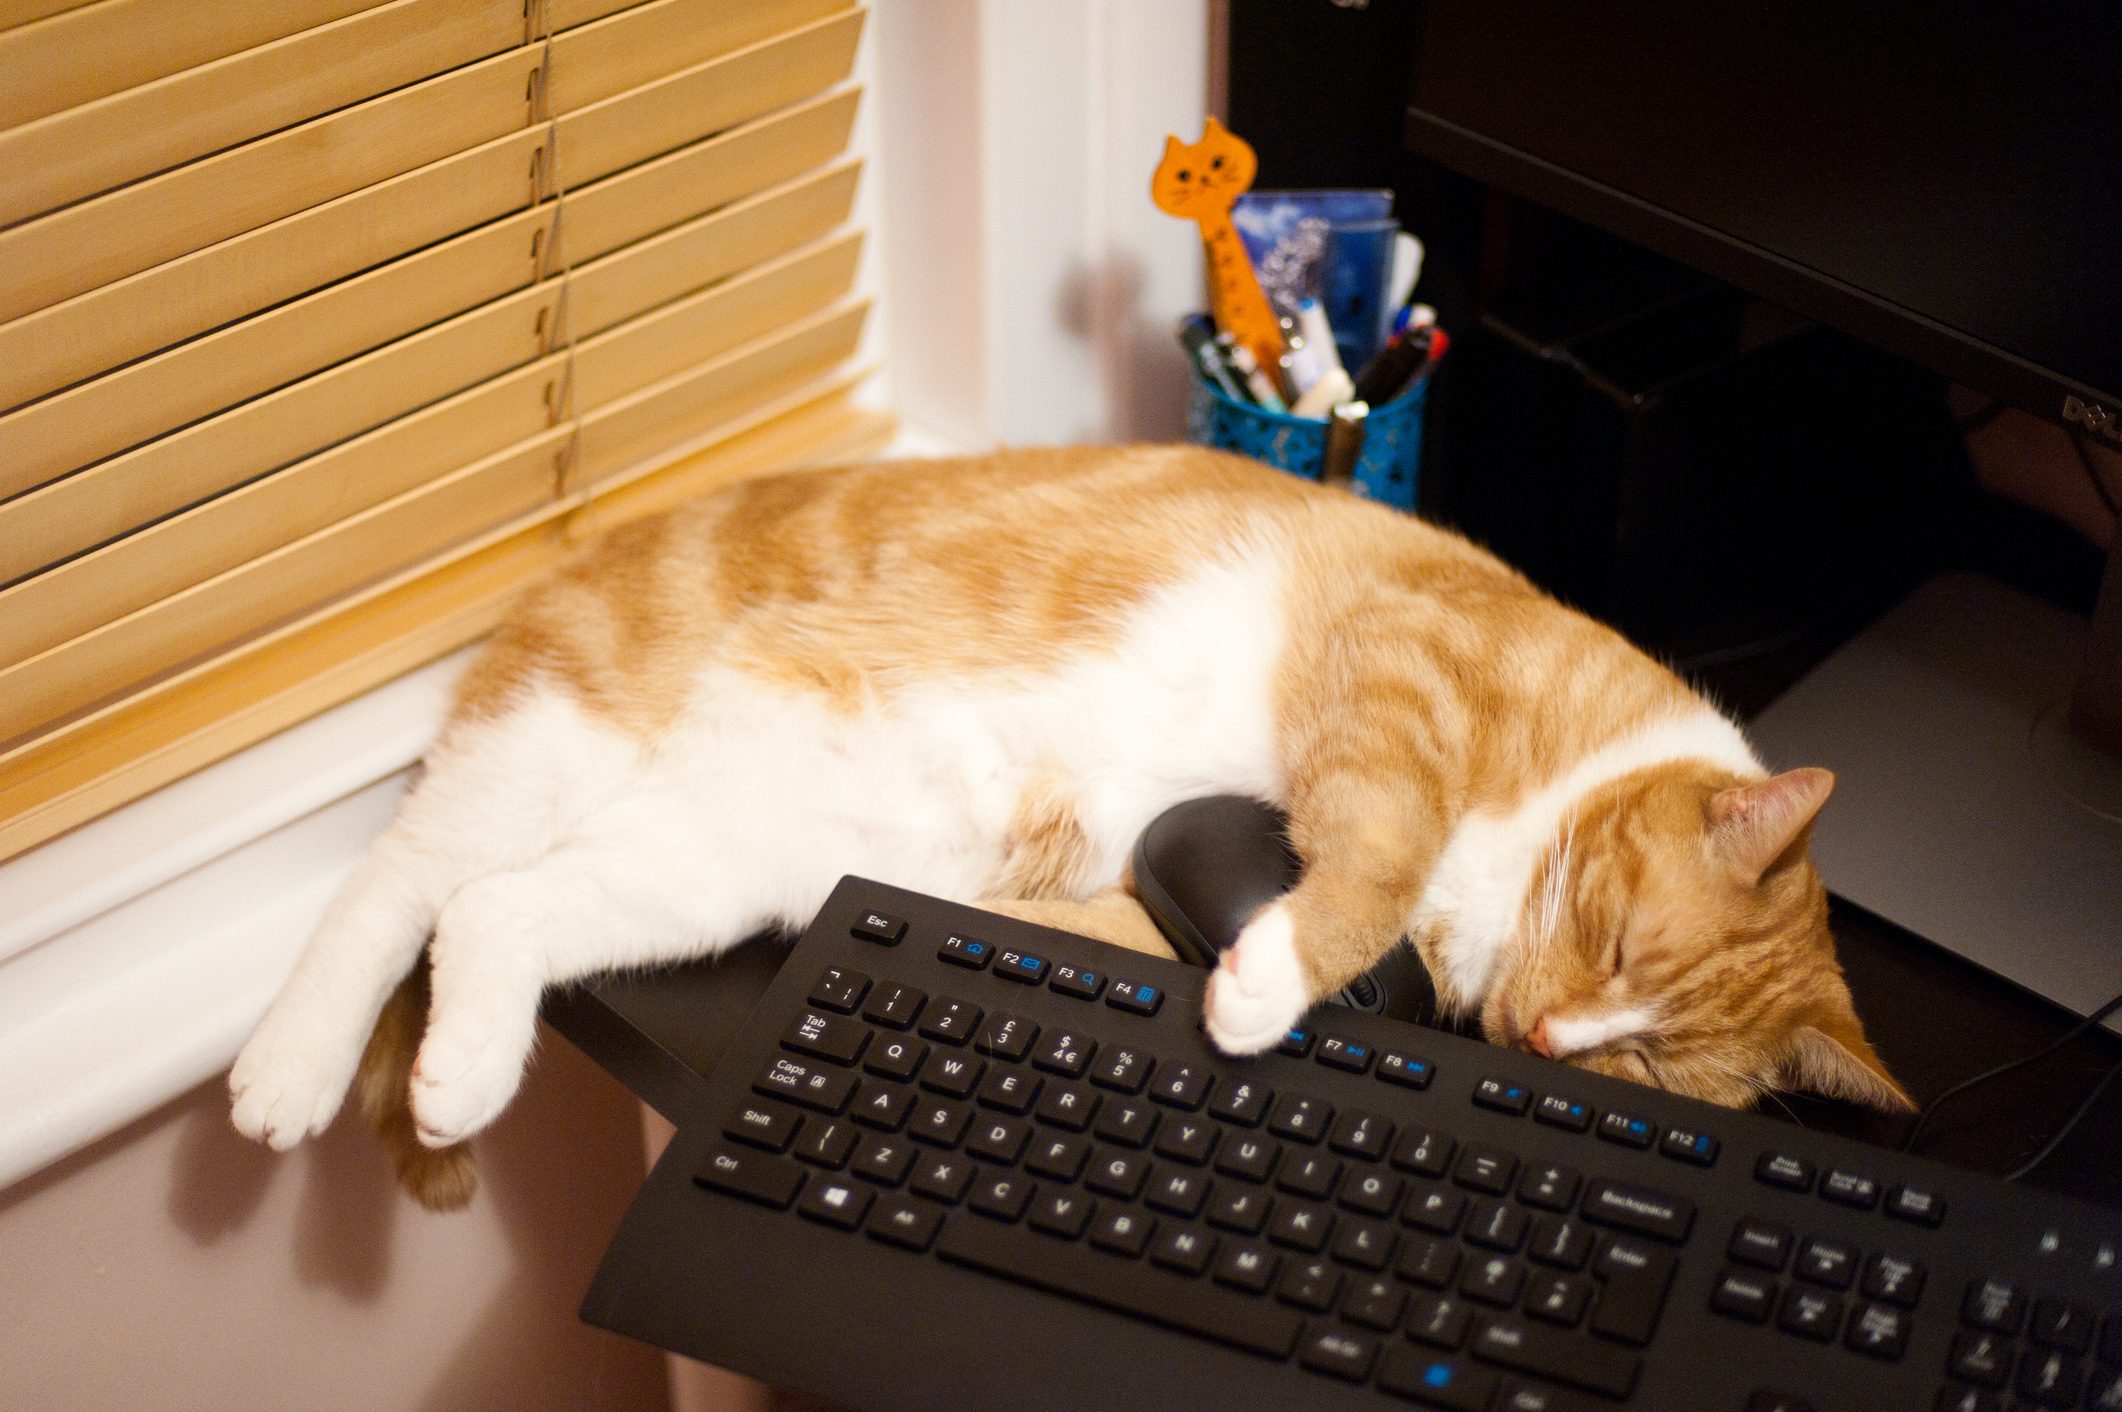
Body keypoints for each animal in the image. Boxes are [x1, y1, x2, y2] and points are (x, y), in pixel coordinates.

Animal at [223, 445, 1918, 1206]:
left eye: (1643, 1071)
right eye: (1613, 943)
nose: (1556, 1043)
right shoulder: (1395, 675)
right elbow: (1369, 861)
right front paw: (1266, 984)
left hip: (704, 866)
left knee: (495, 916)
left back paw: (457, 1077)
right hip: (557, 742)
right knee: (401, 883)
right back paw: (289, 1071)